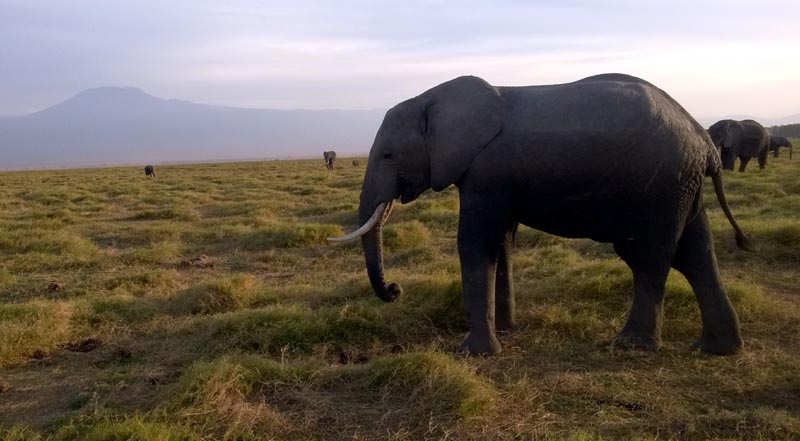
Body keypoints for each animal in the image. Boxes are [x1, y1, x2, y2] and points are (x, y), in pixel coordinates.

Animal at [330, 74, 752, 358]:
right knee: (697, 256)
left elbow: (475, 244)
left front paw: (477, 353)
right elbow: (501, 244)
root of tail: (704, 141)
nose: (395, 289)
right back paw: (718, 348)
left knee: (649, 259)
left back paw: (630, 345)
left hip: (658, 188)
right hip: (681, 187)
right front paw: (507, 329)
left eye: (388, 155)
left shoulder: (486, 172)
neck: (431, 97)